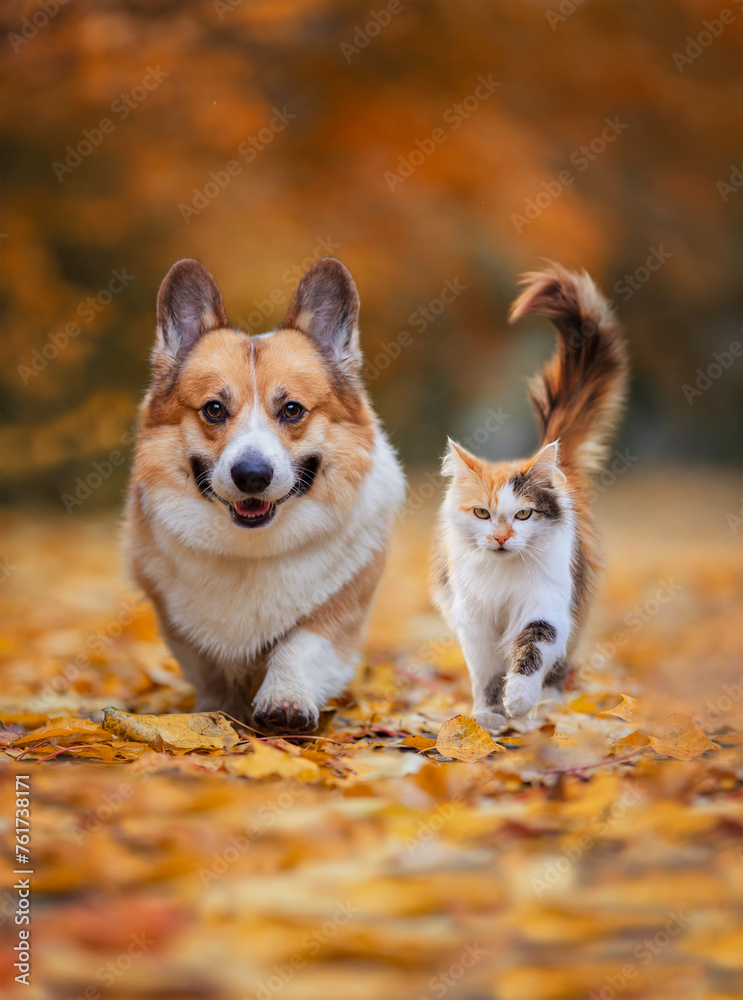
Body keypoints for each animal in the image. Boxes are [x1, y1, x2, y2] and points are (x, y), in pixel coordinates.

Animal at [126, 254, 406, 732]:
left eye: (292, 409)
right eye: (213, 409)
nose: (252, 475)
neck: (252, 547)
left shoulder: (339, 610)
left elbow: (300, 646)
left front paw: (285, 700)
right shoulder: (176, 621)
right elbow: (209, 668)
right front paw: (215, 713)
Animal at [430, 264, 628, 736]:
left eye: (523, 514)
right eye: (482, 513)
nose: (502, 538)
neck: (503, 582)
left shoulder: (546, 605)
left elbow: (533, 647)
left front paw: (518, 701)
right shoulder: (473, 621)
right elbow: (485, 673)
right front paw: (488, 714)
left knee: (560, 664)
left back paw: (552, 706)